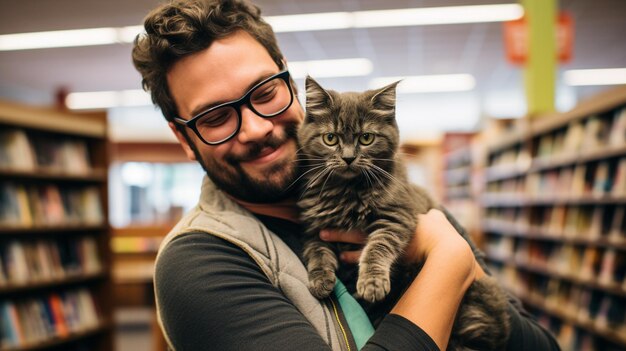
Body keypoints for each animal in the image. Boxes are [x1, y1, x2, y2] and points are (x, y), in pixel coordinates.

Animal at [300, 77, 510, 351]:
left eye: (366, 138)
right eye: (330, 138)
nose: (348, 158)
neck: (347, 191)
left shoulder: (396, 216)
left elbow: (376, 248)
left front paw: (372, 282)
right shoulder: (315, 228)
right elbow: (317, 252)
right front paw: (320, 280)